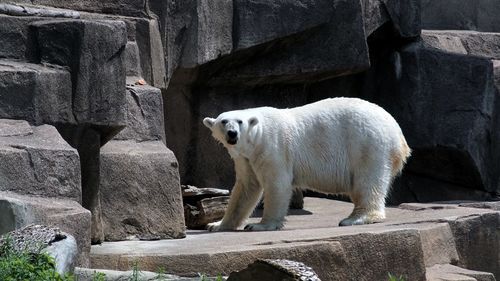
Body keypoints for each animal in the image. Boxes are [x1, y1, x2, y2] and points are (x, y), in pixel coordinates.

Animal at [203, 97, 410, 230]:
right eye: (223, 122)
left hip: (368, 142)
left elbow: (277, 184)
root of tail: (398, 134)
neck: (256, 138)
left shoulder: (272, 147)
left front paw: (259, 225)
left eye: (240, 121)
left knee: (368, 181)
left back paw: (355, 219)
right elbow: (246, 188)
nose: (232, 134)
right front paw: (216, 225)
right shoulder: (245, 158)